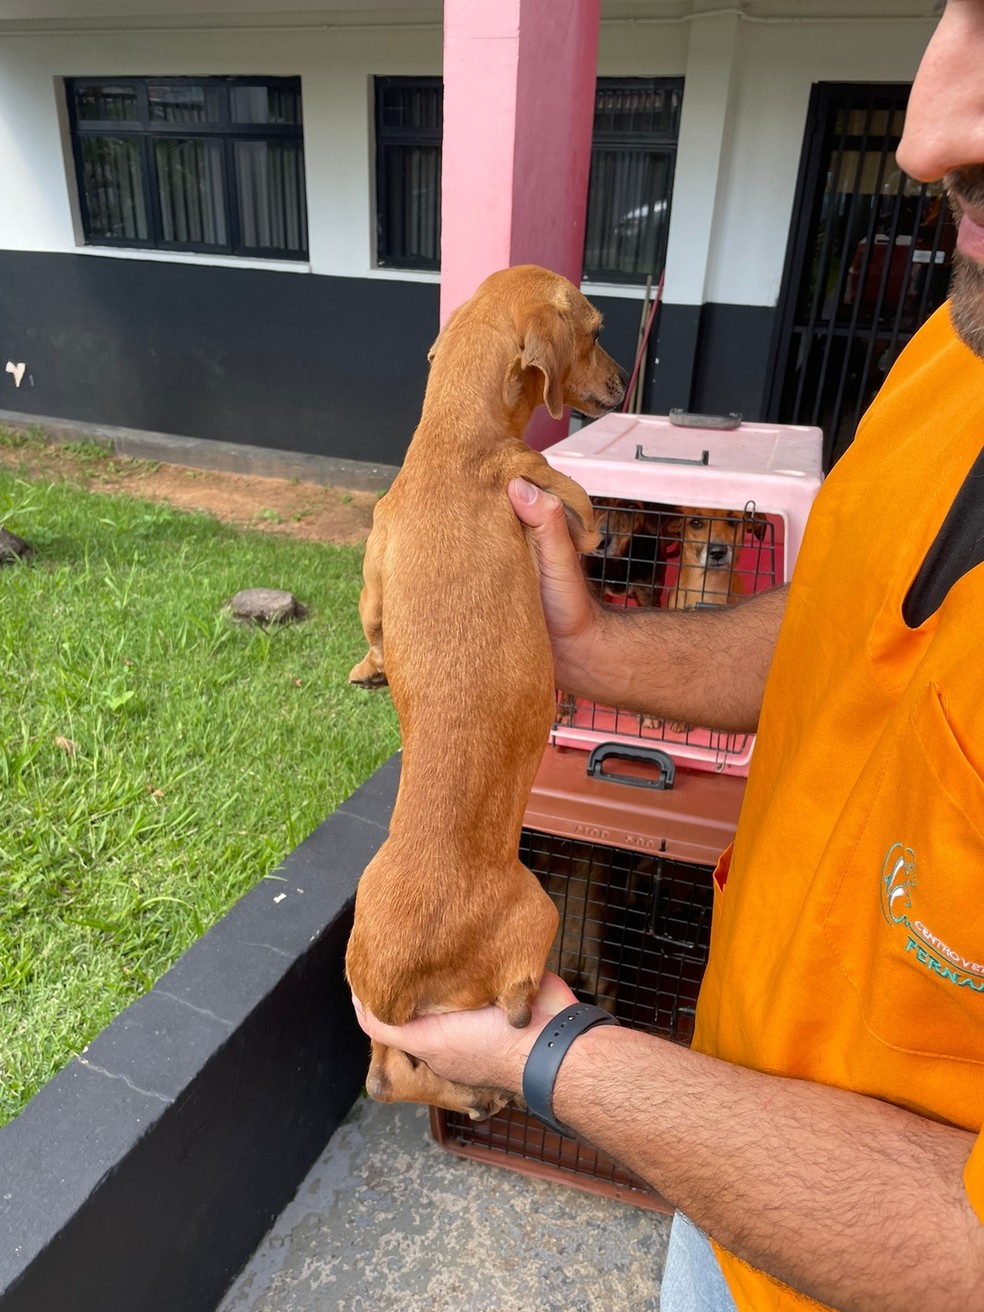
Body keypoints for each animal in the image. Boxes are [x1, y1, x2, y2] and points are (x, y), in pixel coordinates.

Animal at [346, 263, 624, 1117]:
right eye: (596, 331)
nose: (624, 381)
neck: (450, 442)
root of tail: (393, 976)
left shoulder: (376, 560)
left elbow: (371, 621)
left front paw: (371, 668)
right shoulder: (537, 480)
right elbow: (578, 505)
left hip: (383, 1019)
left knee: (386, 1075)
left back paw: (470, 1096)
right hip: (536, 913)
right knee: (512, 1000)